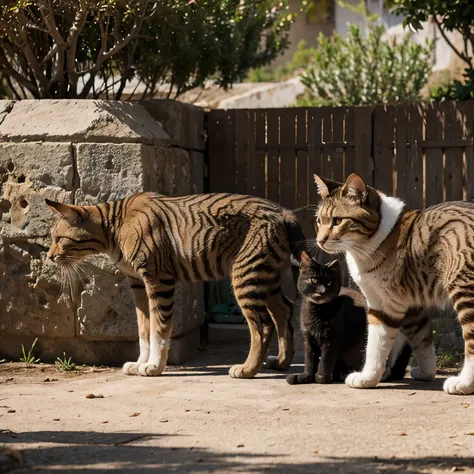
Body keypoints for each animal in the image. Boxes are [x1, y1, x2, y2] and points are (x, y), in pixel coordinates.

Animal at [286, 252, 412, 386]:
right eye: (313, 280)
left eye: (329, 283)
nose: (321, 291)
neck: (317, 310)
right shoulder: (308, 337)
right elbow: (309, 358)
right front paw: (307, 377)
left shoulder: (332, 338)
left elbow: (325, 359)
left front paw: (321, 377)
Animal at [312, 172, 474, 394]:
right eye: (319, 221)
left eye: (337, 221)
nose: (320, 241)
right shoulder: (413, 306)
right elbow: (422, 340)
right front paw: (426, 372)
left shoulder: (385, 303)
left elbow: (375, 345)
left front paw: (367, 377)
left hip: (465, 289)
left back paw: (464, 383)